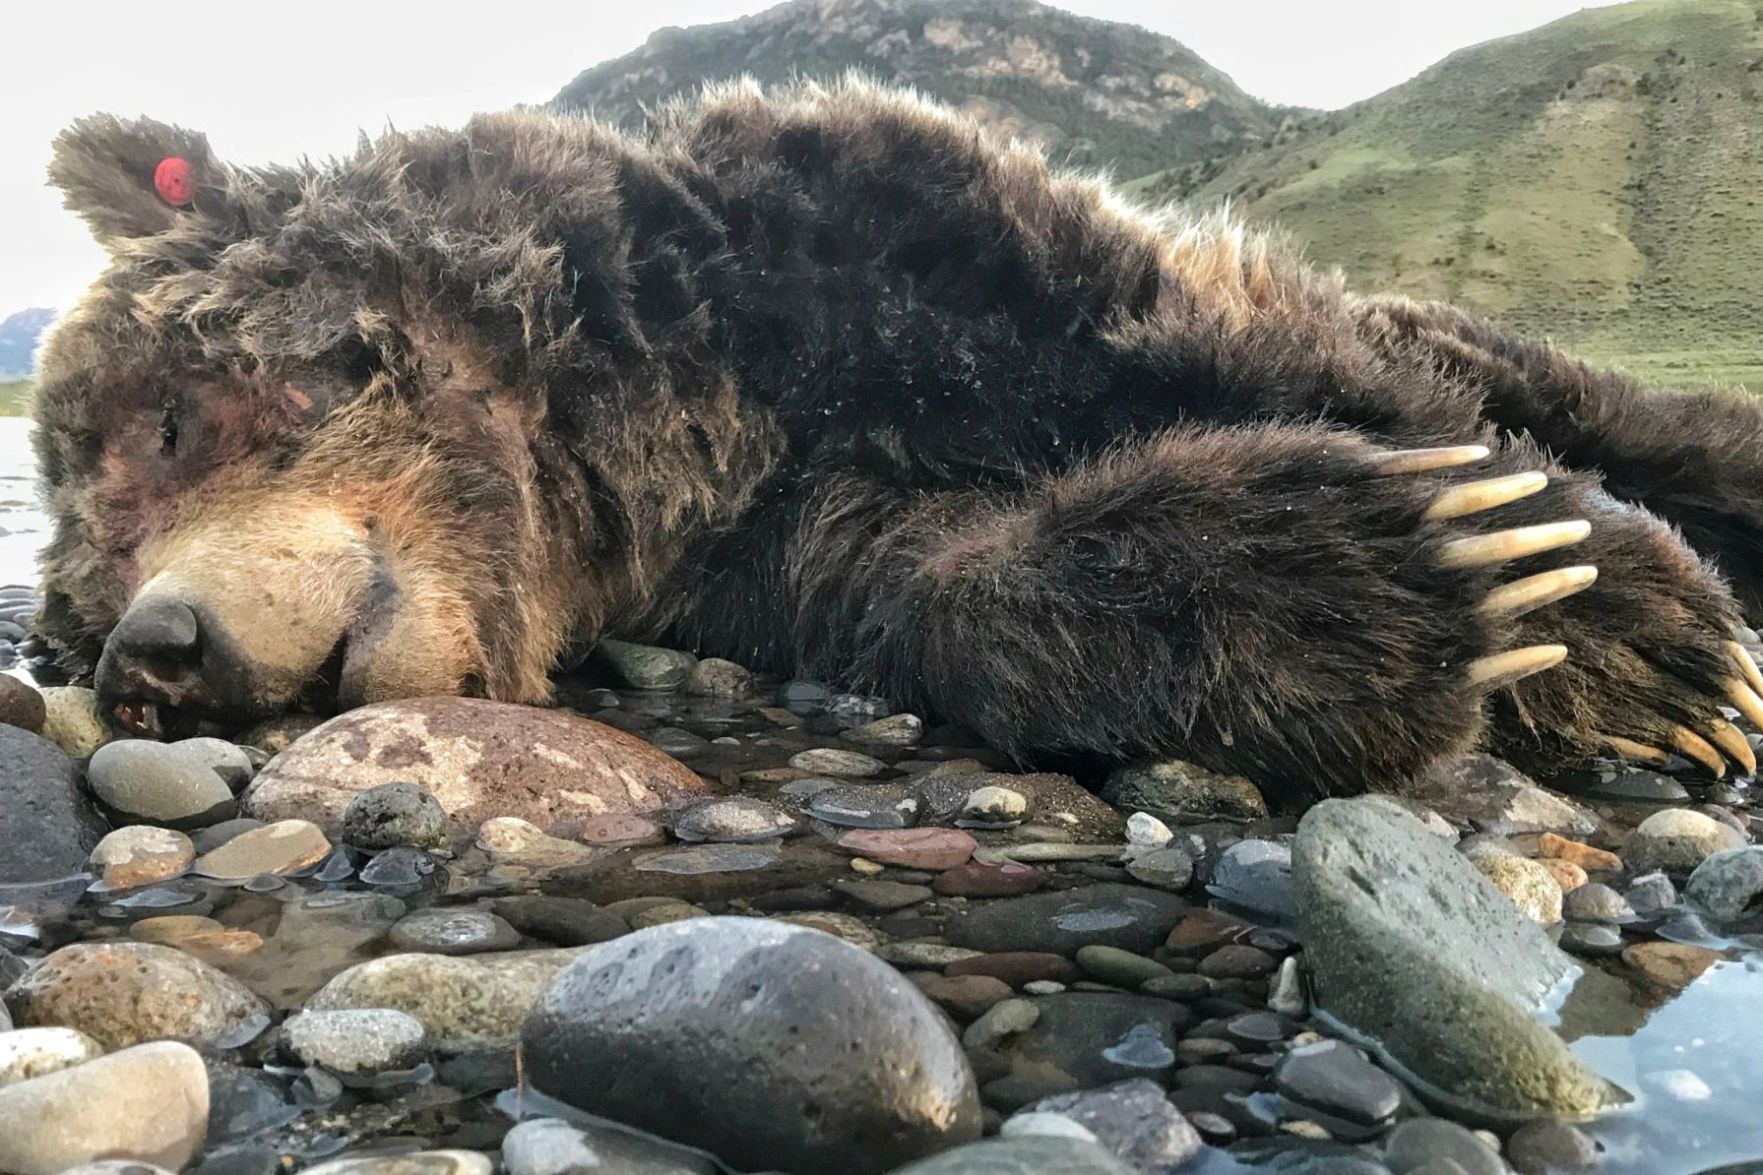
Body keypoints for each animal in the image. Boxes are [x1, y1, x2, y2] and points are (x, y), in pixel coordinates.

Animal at [31, 77, 1763, 800]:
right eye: (84, 569)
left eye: (167, 420)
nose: (155, 651)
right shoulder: (769, 540)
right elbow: (932, 583)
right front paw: (1358, 575)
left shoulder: (907, 237)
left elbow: (1290, 361)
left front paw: (1614, 621)